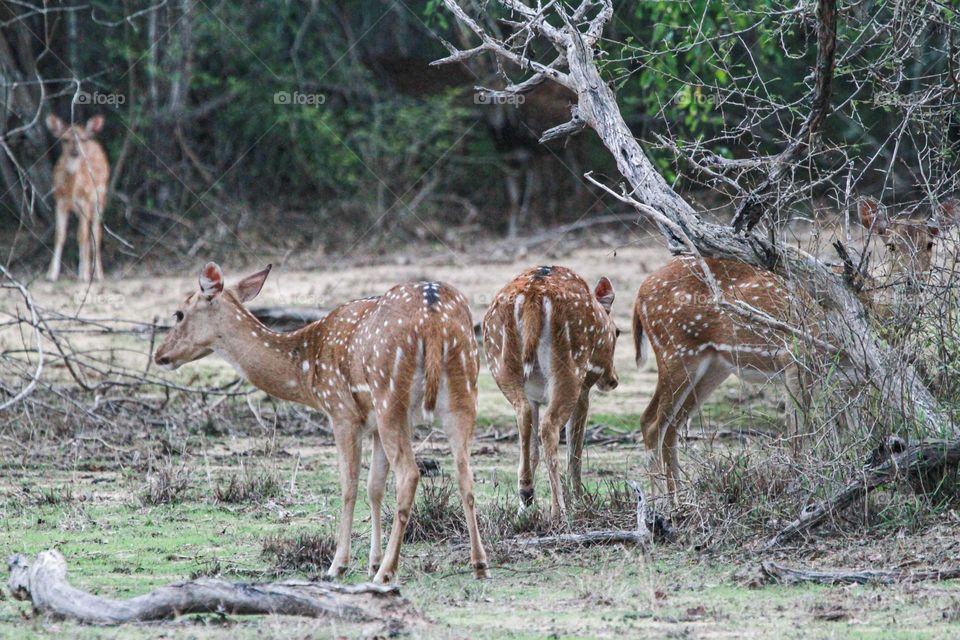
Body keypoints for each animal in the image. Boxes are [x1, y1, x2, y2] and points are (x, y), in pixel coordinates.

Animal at [45, 114, 110, 282]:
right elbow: (59, 235)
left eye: (83, 139)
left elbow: (82, 236)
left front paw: (84, 274)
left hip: (100, 198)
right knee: (89, 233)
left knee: (95, 233)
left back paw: (98, 274)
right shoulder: (59, 202)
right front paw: (51, 274)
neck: (71, 190)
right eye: (64, 139)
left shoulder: (84, 202)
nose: (75, 152)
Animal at [154, 263, 489, 584]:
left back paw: (387, 572)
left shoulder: (342, 412)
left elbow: (349, 485)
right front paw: (372, 560)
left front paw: (339, 565)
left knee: (409, 473)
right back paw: (478, 564)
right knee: (465, 473)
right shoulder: (373, 424)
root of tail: (432, 318)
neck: (305, 371)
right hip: (463, 391)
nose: (159, 354)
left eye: (179, 313)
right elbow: (374, 487)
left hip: (389, 394)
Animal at [482, 266, 619, 521]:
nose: (612, 380)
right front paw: (579, 500)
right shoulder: (584, 390)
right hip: (571, 368)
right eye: (618, 332)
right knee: (550, 428)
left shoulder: (535, 397)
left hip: (500, 364)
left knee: (523, 414)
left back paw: (526, 494)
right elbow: (575, 450)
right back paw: (559, 511)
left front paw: (522, 509)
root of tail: (533, 296)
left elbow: (534, 450)